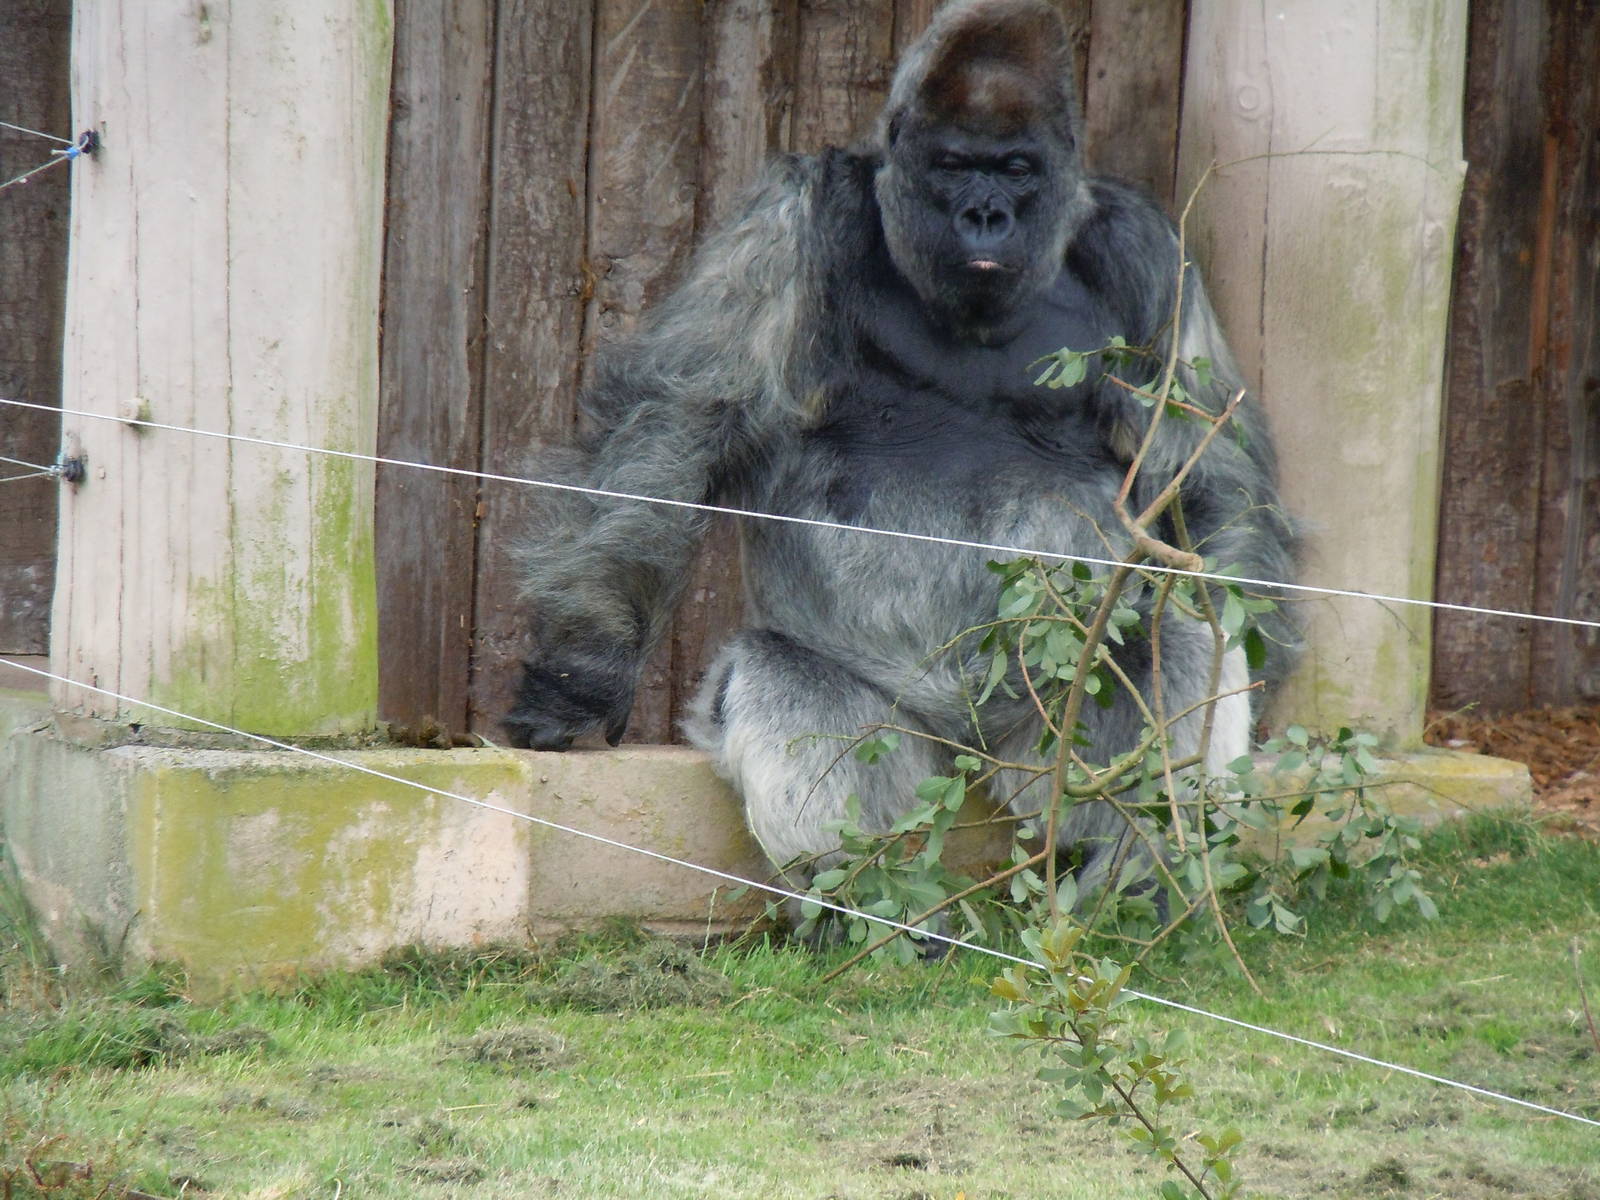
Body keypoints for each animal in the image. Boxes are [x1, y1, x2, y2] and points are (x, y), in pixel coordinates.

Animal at [505, 0, 1296, 901]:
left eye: (1015, 169)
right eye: (954, 166)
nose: (985, 215)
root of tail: (971, 754)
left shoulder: (1150, 249)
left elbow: (1207, 475)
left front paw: (1259, 653)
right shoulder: (791, 216)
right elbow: (679, 422)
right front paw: (584, 668)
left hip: (1046, 705)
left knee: (1173, 630)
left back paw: (1127, 878)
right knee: (788, 684)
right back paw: (858, 894)